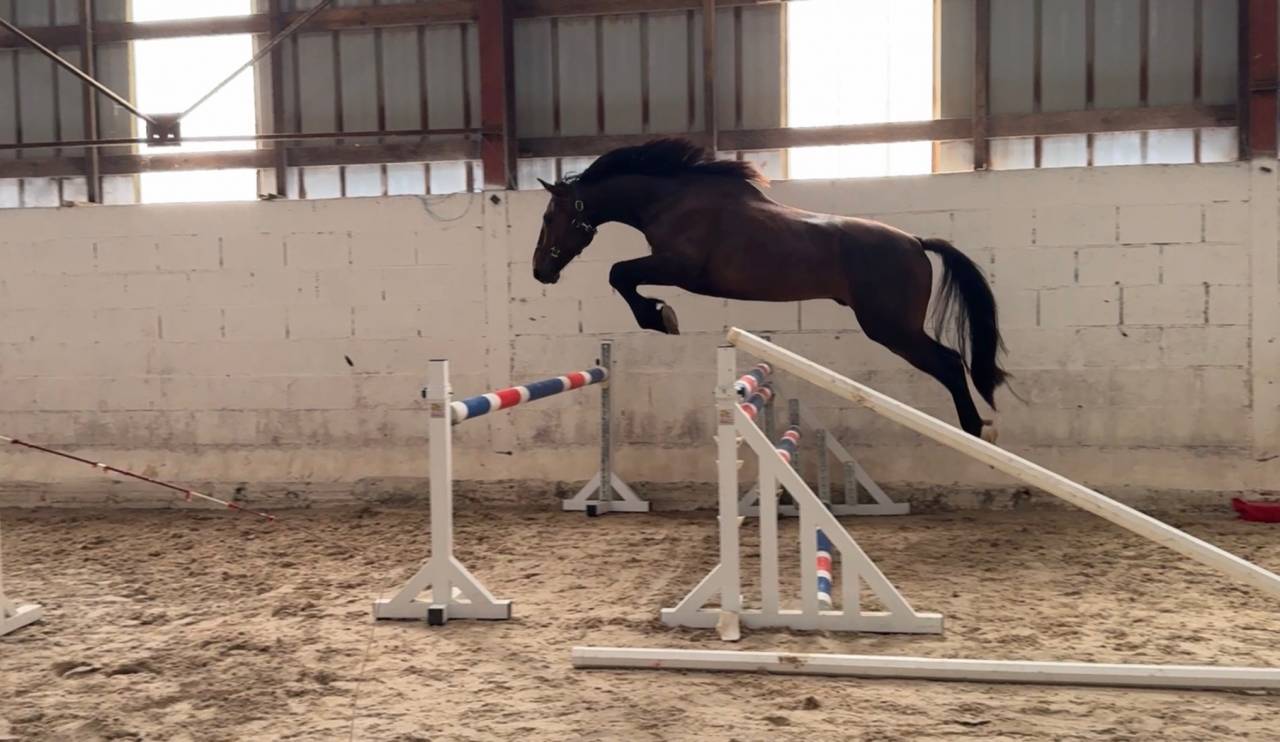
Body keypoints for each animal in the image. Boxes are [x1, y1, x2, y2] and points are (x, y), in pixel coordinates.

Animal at [531, 138, 1009, 441]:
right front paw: (660, 314)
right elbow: (622, 276)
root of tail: (915, 242)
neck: (673, 199)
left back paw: (975, 431)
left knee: (950, 364)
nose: (539, 271)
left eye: (550, 216)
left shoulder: (679, 268)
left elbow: (619, 274)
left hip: (892, 328)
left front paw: (660, 317)